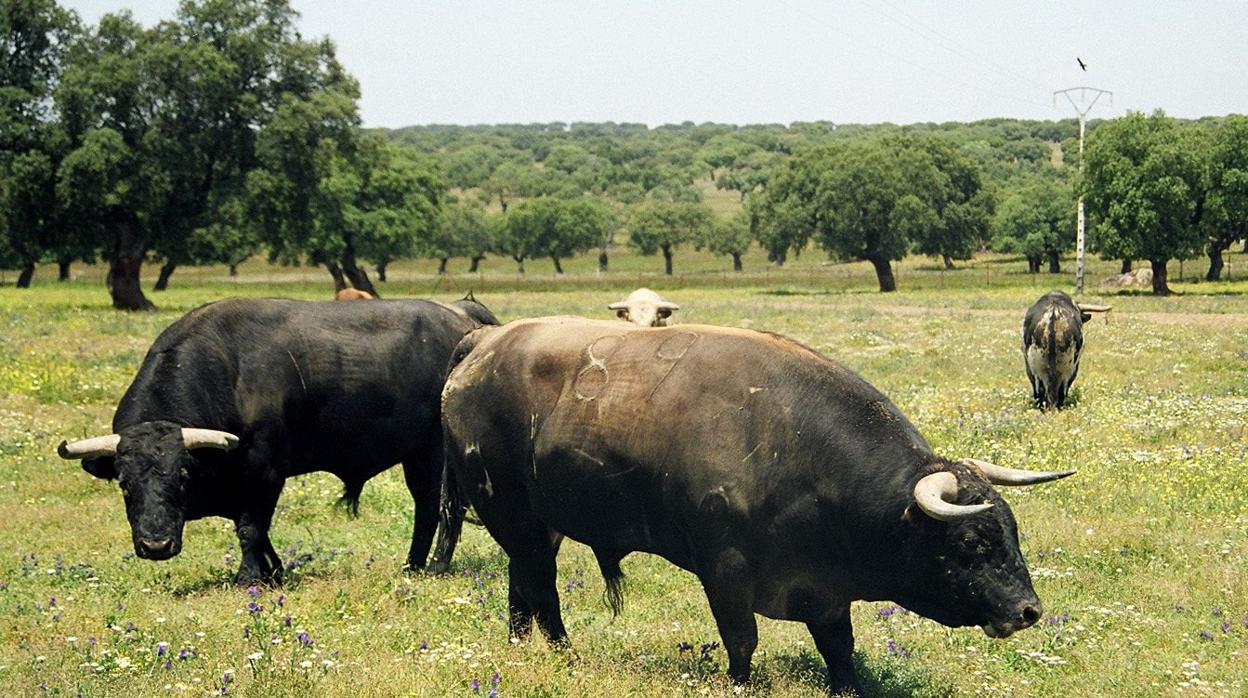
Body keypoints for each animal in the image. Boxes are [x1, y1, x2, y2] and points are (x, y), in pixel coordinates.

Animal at [57, 294, 496, 584]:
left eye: (181, 475)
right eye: (124, 483)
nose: (156, 545)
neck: (222, 371)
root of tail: (464, 319)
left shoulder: (263, 469)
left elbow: (251, 528)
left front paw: (249, 577)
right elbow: (258, 530)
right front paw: (275, 572)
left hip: (434, 457)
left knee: (440, 509)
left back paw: (429, 565)